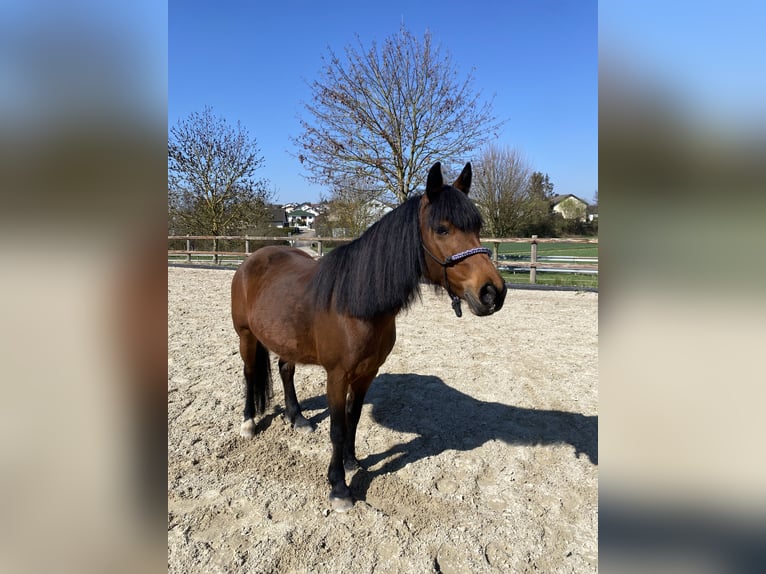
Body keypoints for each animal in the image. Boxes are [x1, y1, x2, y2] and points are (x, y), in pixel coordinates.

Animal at [231, 161, 507, 511]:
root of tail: (252, 260)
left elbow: (355, 417)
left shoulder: (367, 373)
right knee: (250, 374)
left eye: (477, 226)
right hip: (246, 336)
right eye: (442, 229)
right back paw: (249, 423)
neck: (355, 303)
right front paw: (339, 487)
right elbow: (337, 428)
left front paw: (351, 462)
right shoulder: (337, 376)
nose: (492, 292)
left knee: (285, 369)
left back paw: (298, 418)